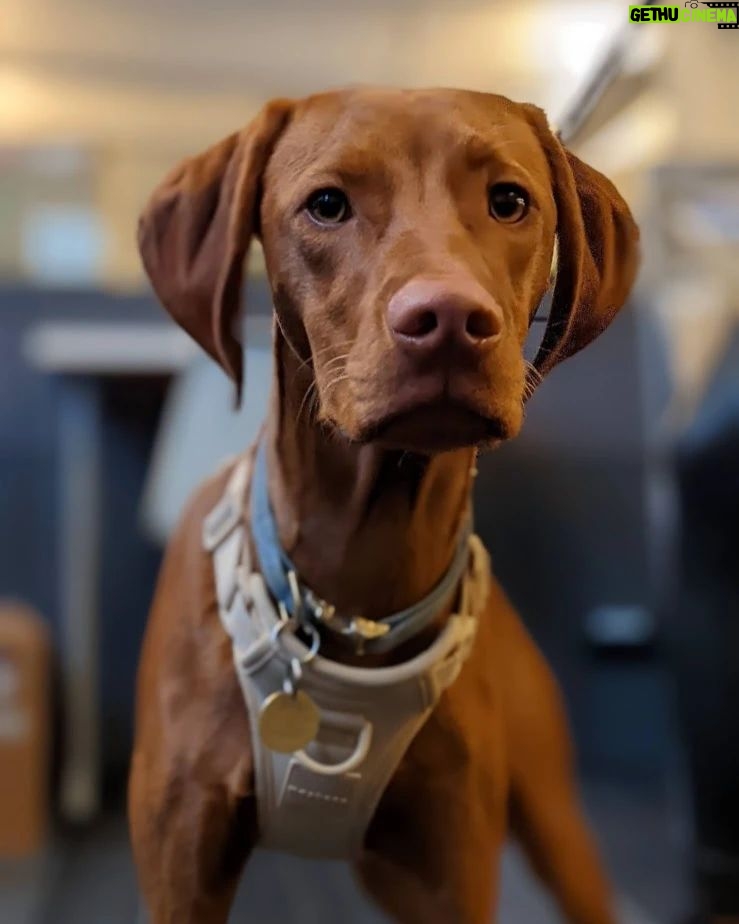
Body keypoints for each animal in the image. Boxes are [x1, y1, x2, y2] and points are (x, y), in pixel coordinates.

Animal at [130, 88, 640, 924]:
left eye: (509, 201)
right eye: (326, 205)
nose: (449, 320)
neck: (354, 591)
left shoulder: (453, 867)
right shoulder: (182, 864)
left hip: (549, 825)